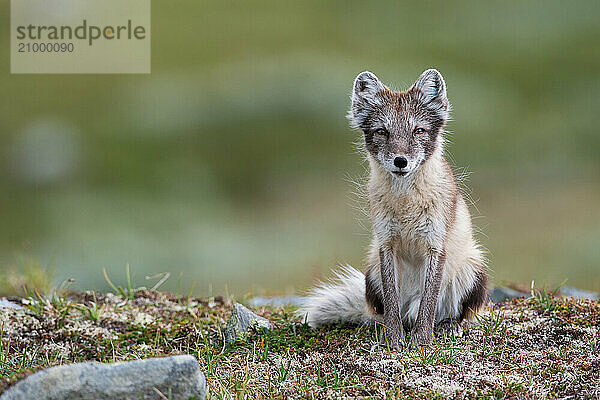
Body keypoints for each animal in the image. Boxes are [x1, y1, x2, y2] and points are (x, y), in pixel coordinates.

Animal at [296, 69, 488, 346]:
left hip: (472, 269)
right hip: (371, 273)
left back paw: (448, 326)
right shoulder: (386, 243)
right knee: (383, 311)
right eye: (382, 131)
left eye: (418, 130)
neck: (406, 202)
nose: (400, 161)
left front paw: (422, 341)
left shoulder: (436, 244)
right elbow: (391, 300)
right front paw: (394, 340)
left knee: (454, 312)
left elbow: (429, 301)